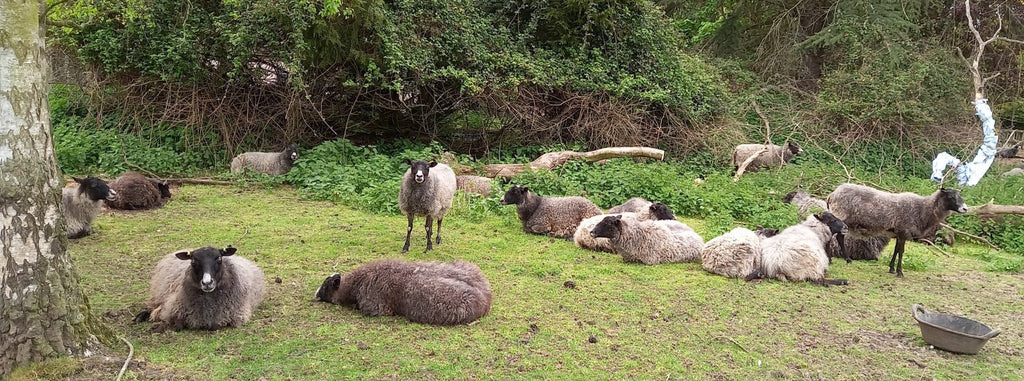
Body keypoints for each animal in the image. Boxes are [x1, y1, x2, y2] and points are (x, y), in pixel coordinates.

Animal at [132, 243, 266, 329]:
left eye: (219, 258)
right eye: (193, 261)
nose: (207, 283)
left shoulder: (237, 316)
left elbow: (215, 325)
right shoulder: (173, 310)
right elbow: (177, 324)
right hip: (158, 294)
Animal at [823, 183, 966, 276]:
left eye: (960, 196)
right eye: (951, 197)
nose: (965, 208)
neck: (924, 208)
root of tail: (832, 194)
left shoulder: (898, 233)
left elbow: (896, 250)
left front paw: (891, 269)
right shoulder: (904, 231)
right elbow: (901, 252)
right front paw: (900, 272)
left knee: (839, 237)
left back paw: (848, 259)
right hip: (839, 216)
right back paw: (833, 260)